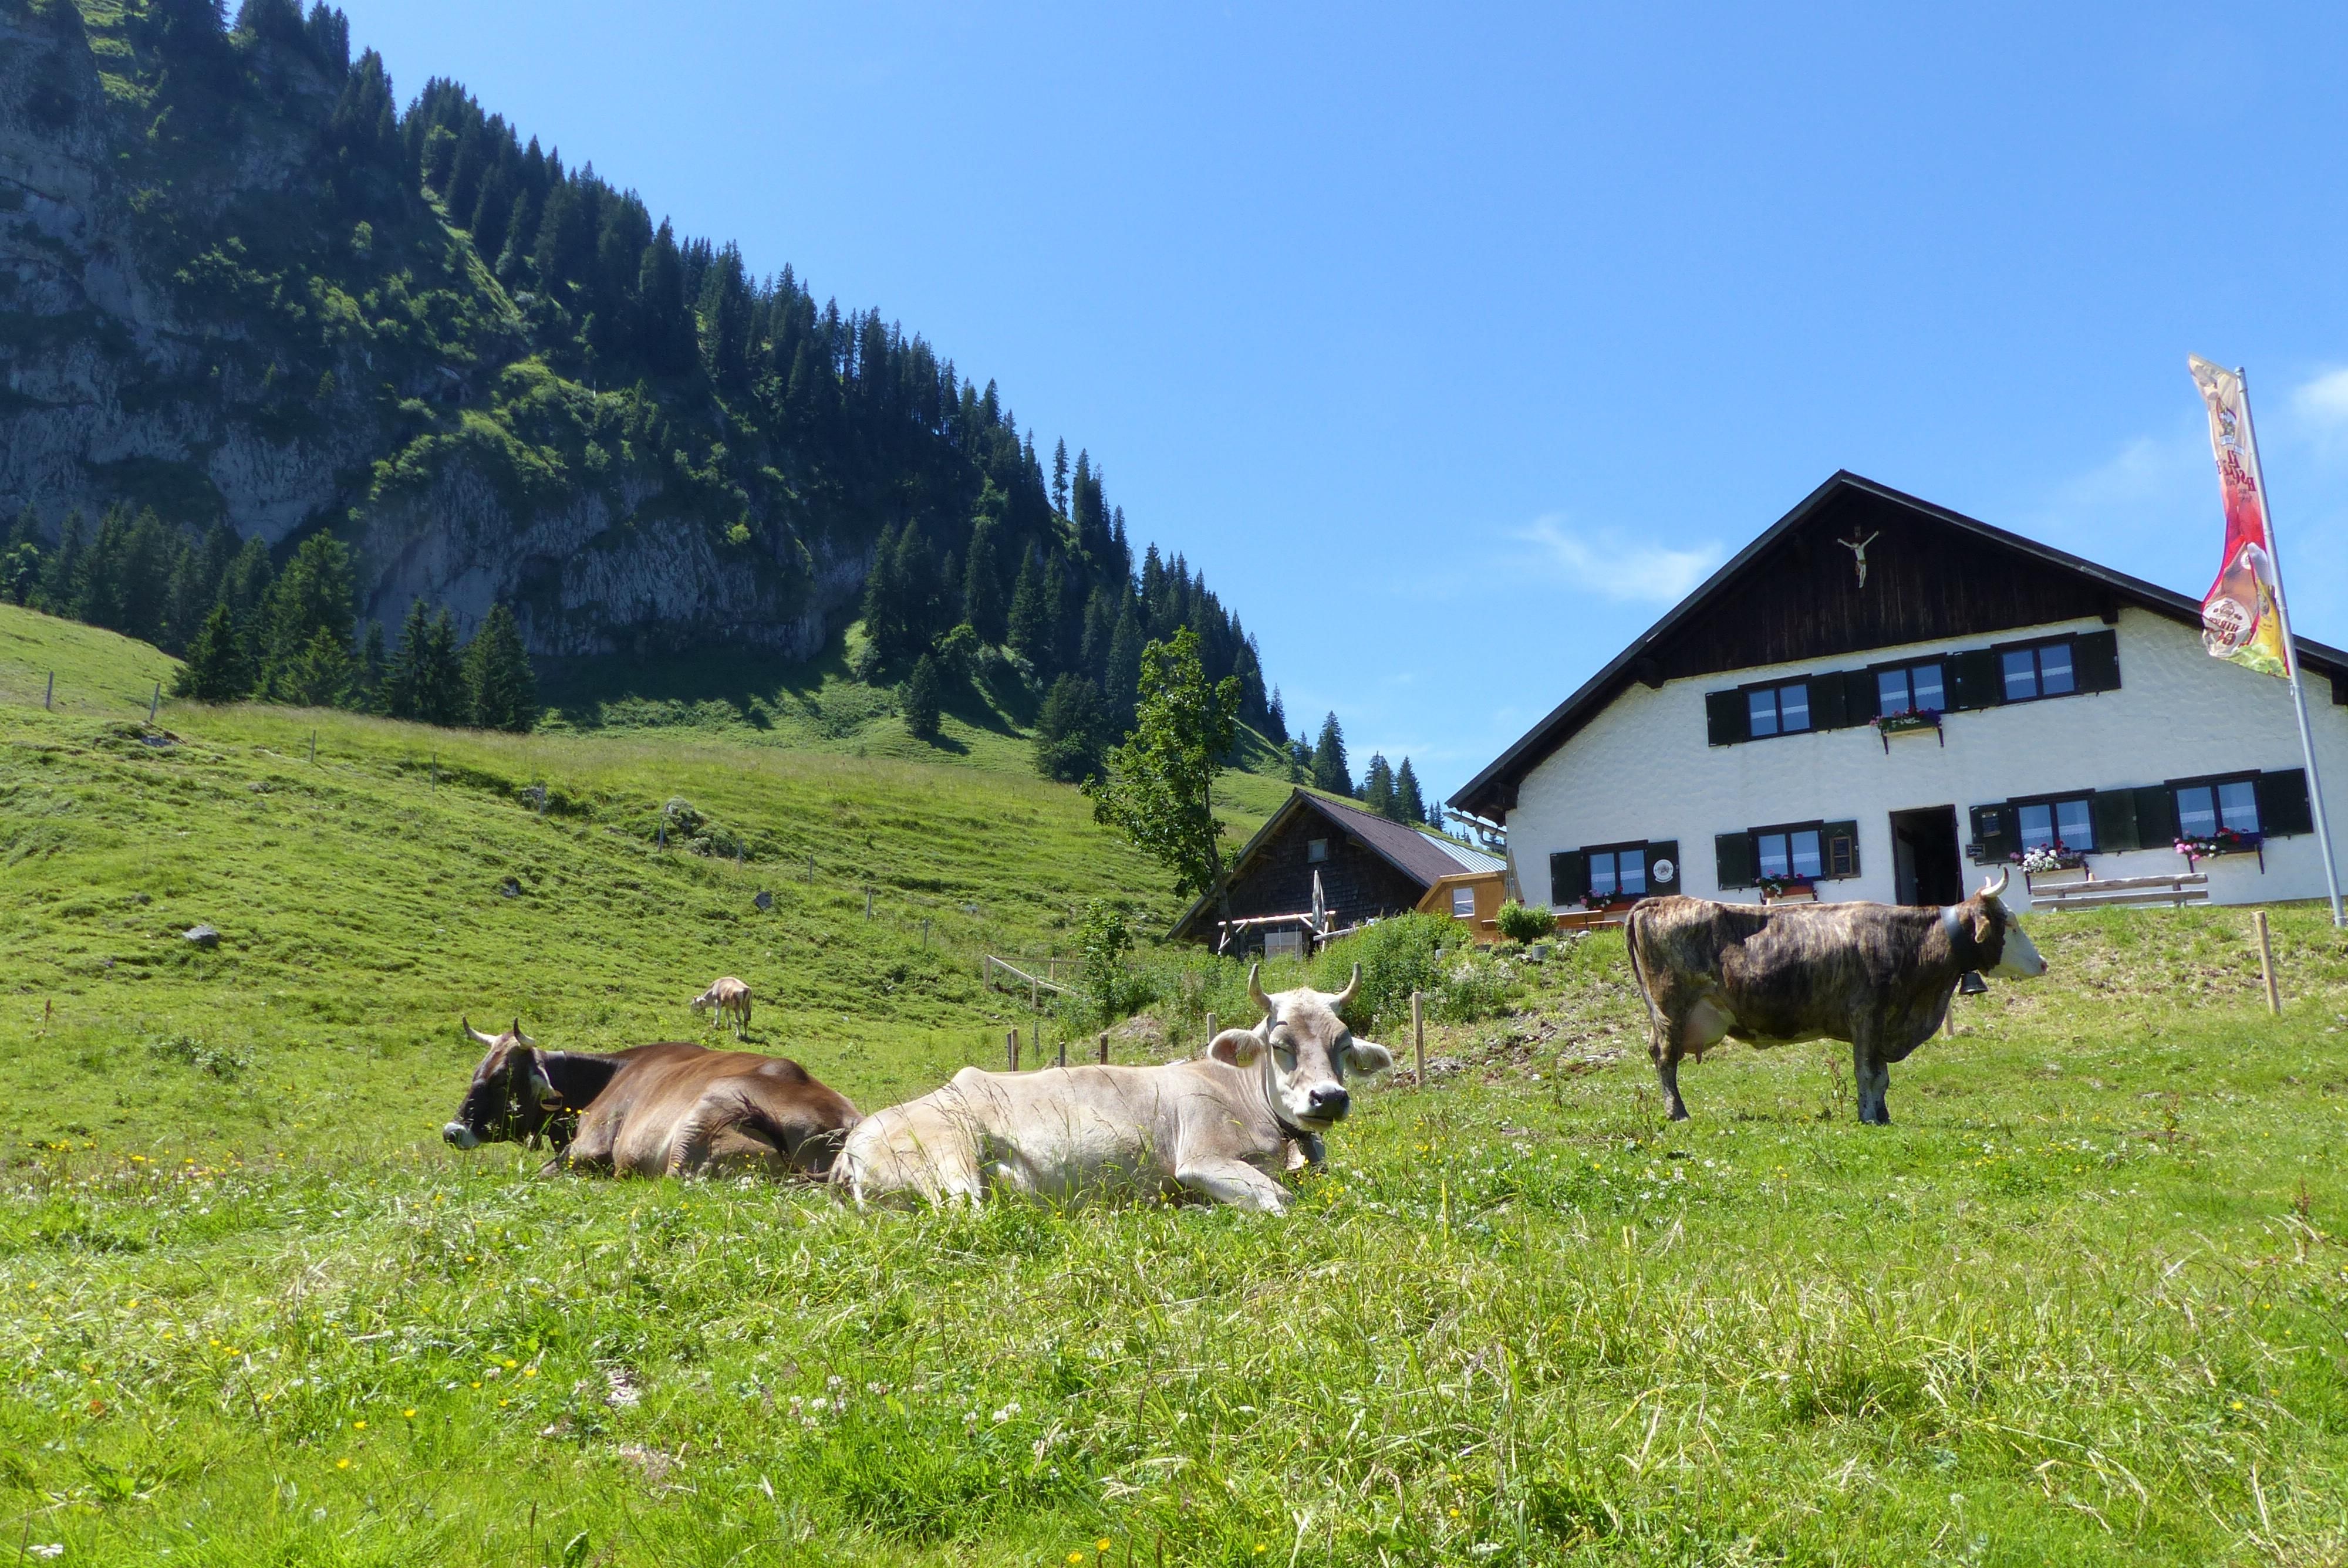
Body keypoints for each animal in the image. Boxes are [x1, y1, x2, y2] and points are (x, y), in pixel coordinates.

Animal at [441, 1018, 860, 1178]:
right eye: (477, 1071)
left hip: (701, 1124)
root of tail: (848, 1121)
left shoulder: (588, 1148)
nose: (451, 1131)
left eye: (501, 1080)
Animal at [836, 964, 1392, 1211]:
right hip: (948, 1157)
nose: (1330, 1098)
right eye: (1280, 1045)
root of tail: (852, 1143)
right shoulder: (1202, 1157)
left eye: (1343, 1044)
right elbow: (1280, 1198)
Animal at [1623, 870, 2047, 1126]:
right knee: (1665, 1059)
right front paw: (1869, 1118)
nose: (2043, 962)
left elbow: (1882, 1078)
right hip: (1671, 1009)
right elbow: (1869, 1073)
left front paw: (1882, 1115)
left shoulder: (1880, 1024)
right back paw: (1678, 1113)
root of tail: (1659, 901)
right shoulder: (1867, 1017)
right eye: (2010, 923)